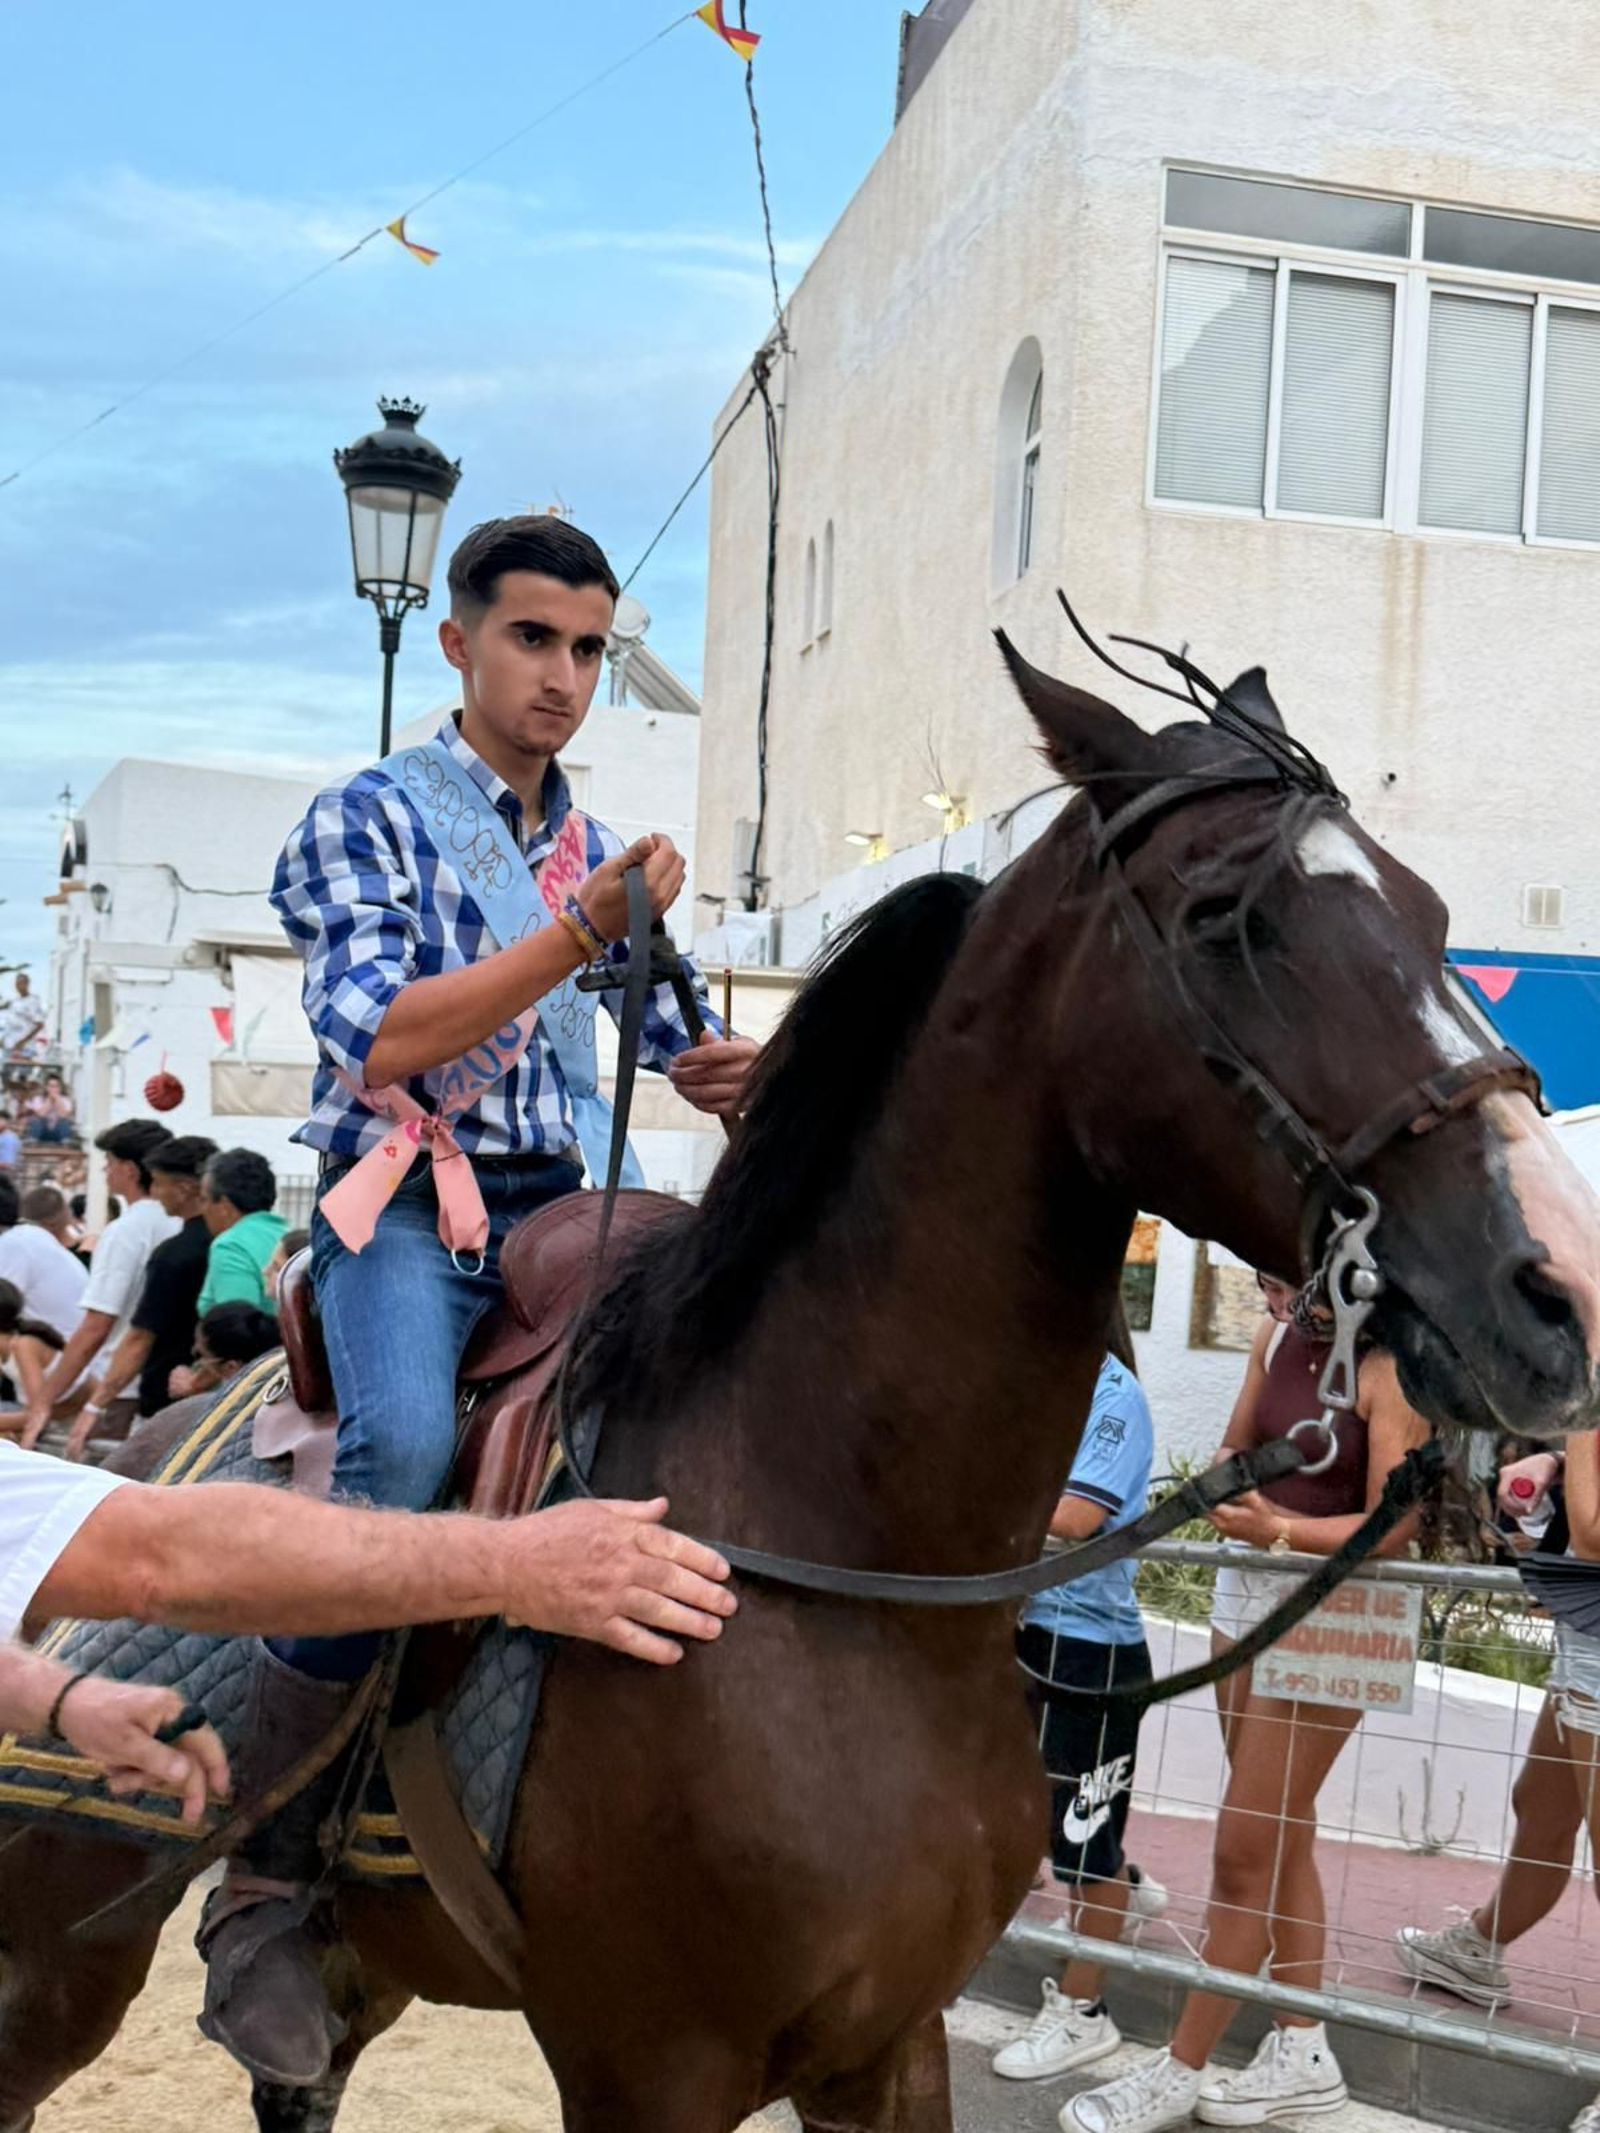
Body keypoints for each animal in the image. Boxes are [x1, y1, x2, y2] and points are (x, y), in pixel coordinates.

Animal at [5, 626, 1600, 2133]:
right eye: (1226, 919)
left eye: (1434, 916)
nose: (1563, 1292)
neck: (851, 1573)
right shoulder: (652, 2066)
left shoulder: (890, 2045)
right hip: (58, 1942)